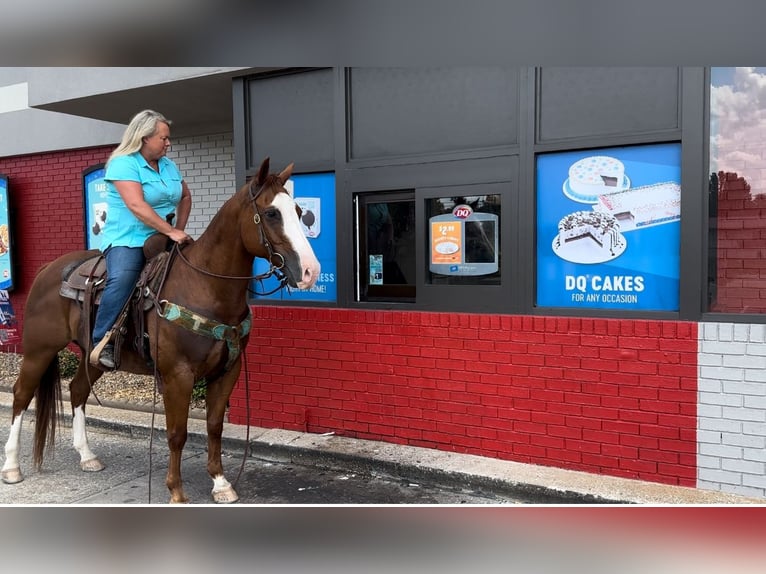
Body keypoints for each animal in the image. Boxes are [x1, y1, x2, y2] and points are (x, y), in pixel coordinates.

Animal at [0, 159, 318, 504]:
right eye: (271, 213)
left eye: (298, 211)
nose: (310, 271)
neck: (206, 287)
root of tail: (48, 269)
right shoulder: (178, 375)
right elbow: (177, 433)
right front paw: (176, 491)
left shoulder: (227, 371)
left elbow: (214, 425)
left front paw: (220, 483)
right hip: (38, 350)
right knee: (21, 395)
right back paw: (12, 466)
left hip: (91, 355)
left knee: (77, 390)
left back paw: (87, 456)